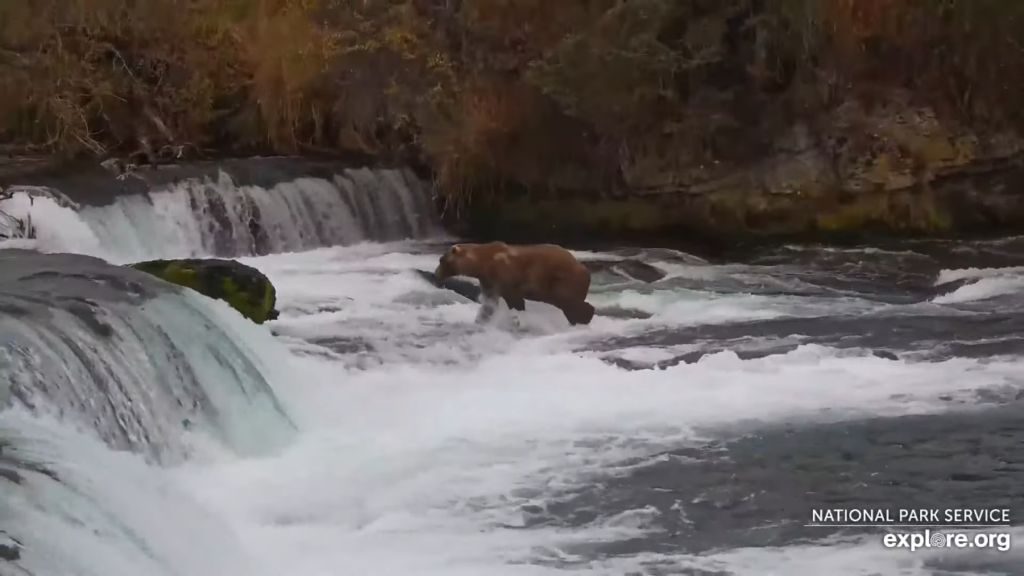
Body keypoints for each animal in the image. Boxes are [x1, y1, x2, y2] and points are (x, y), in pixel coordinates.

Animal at [434, 239, 598, 325]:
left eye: (441, 260)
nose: (436, 273)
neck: (483, 263)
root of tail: (584, 268)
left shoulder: (504, 274)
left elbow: (514, 299)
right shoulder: (488, 280)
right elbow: (489, 302)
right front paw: (481, 318)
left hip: (563, 280)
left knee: (569, 302)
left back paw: (581, 319)